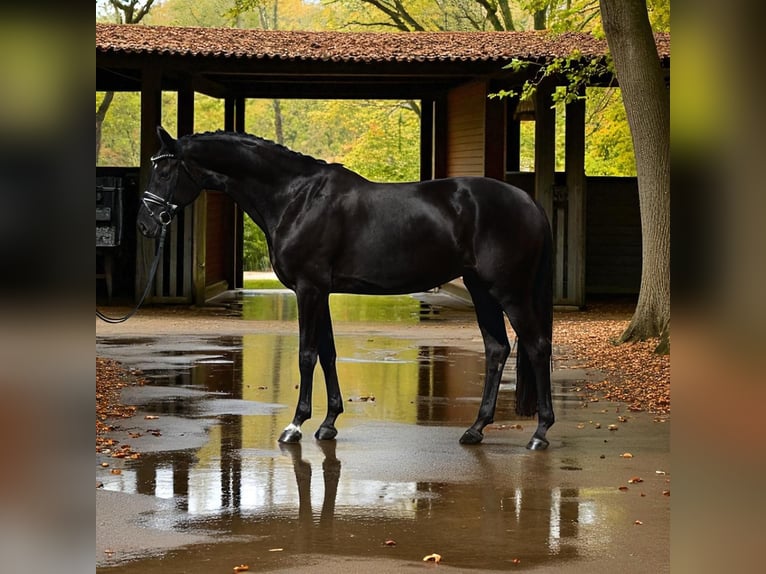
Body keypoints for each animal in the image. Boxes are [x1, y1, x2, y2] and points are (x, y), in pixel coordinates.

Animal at [138, 126, 555, 450]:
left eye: (165, 171)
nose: (145, 224)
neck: (296, 198)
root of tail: (530, 202)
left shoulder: (308, 289)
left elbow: (307, 355)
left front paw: (295, 426)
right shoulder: (319, 291)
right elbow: (328, 353)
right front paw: (328, 423)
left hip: (510, 292)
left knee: (536, 347)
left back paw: (540, 433)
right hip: (481, 289)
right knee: (497, 349)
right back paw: (475, 429)